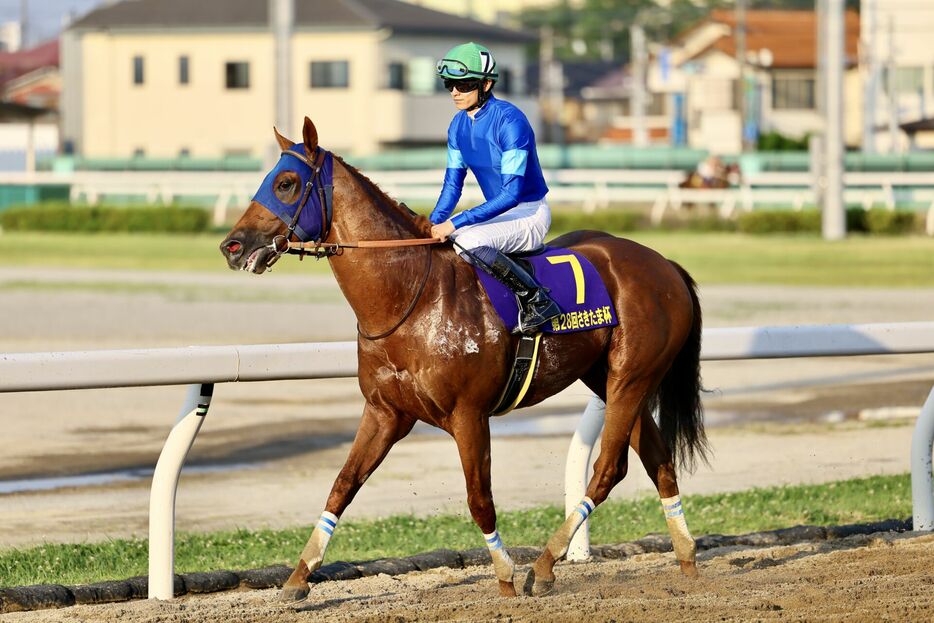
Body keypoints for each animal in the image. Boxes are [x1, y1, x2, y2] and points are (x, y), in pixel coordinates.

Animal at [219, 116, 704, 600]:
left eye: (285, 183)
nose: (232, 246)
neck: (410, 298)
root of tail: (665, 264)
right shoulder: (385, 412)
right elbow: (343, 485)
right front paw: (298, 577)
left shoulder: (468, 414)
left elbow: (479, 498)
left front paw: (506, 577)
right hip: (610, 380)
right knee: (659, 462)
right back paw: (686, 558)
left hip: (630, 377)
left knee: (608, 468)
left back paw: (544, 565)